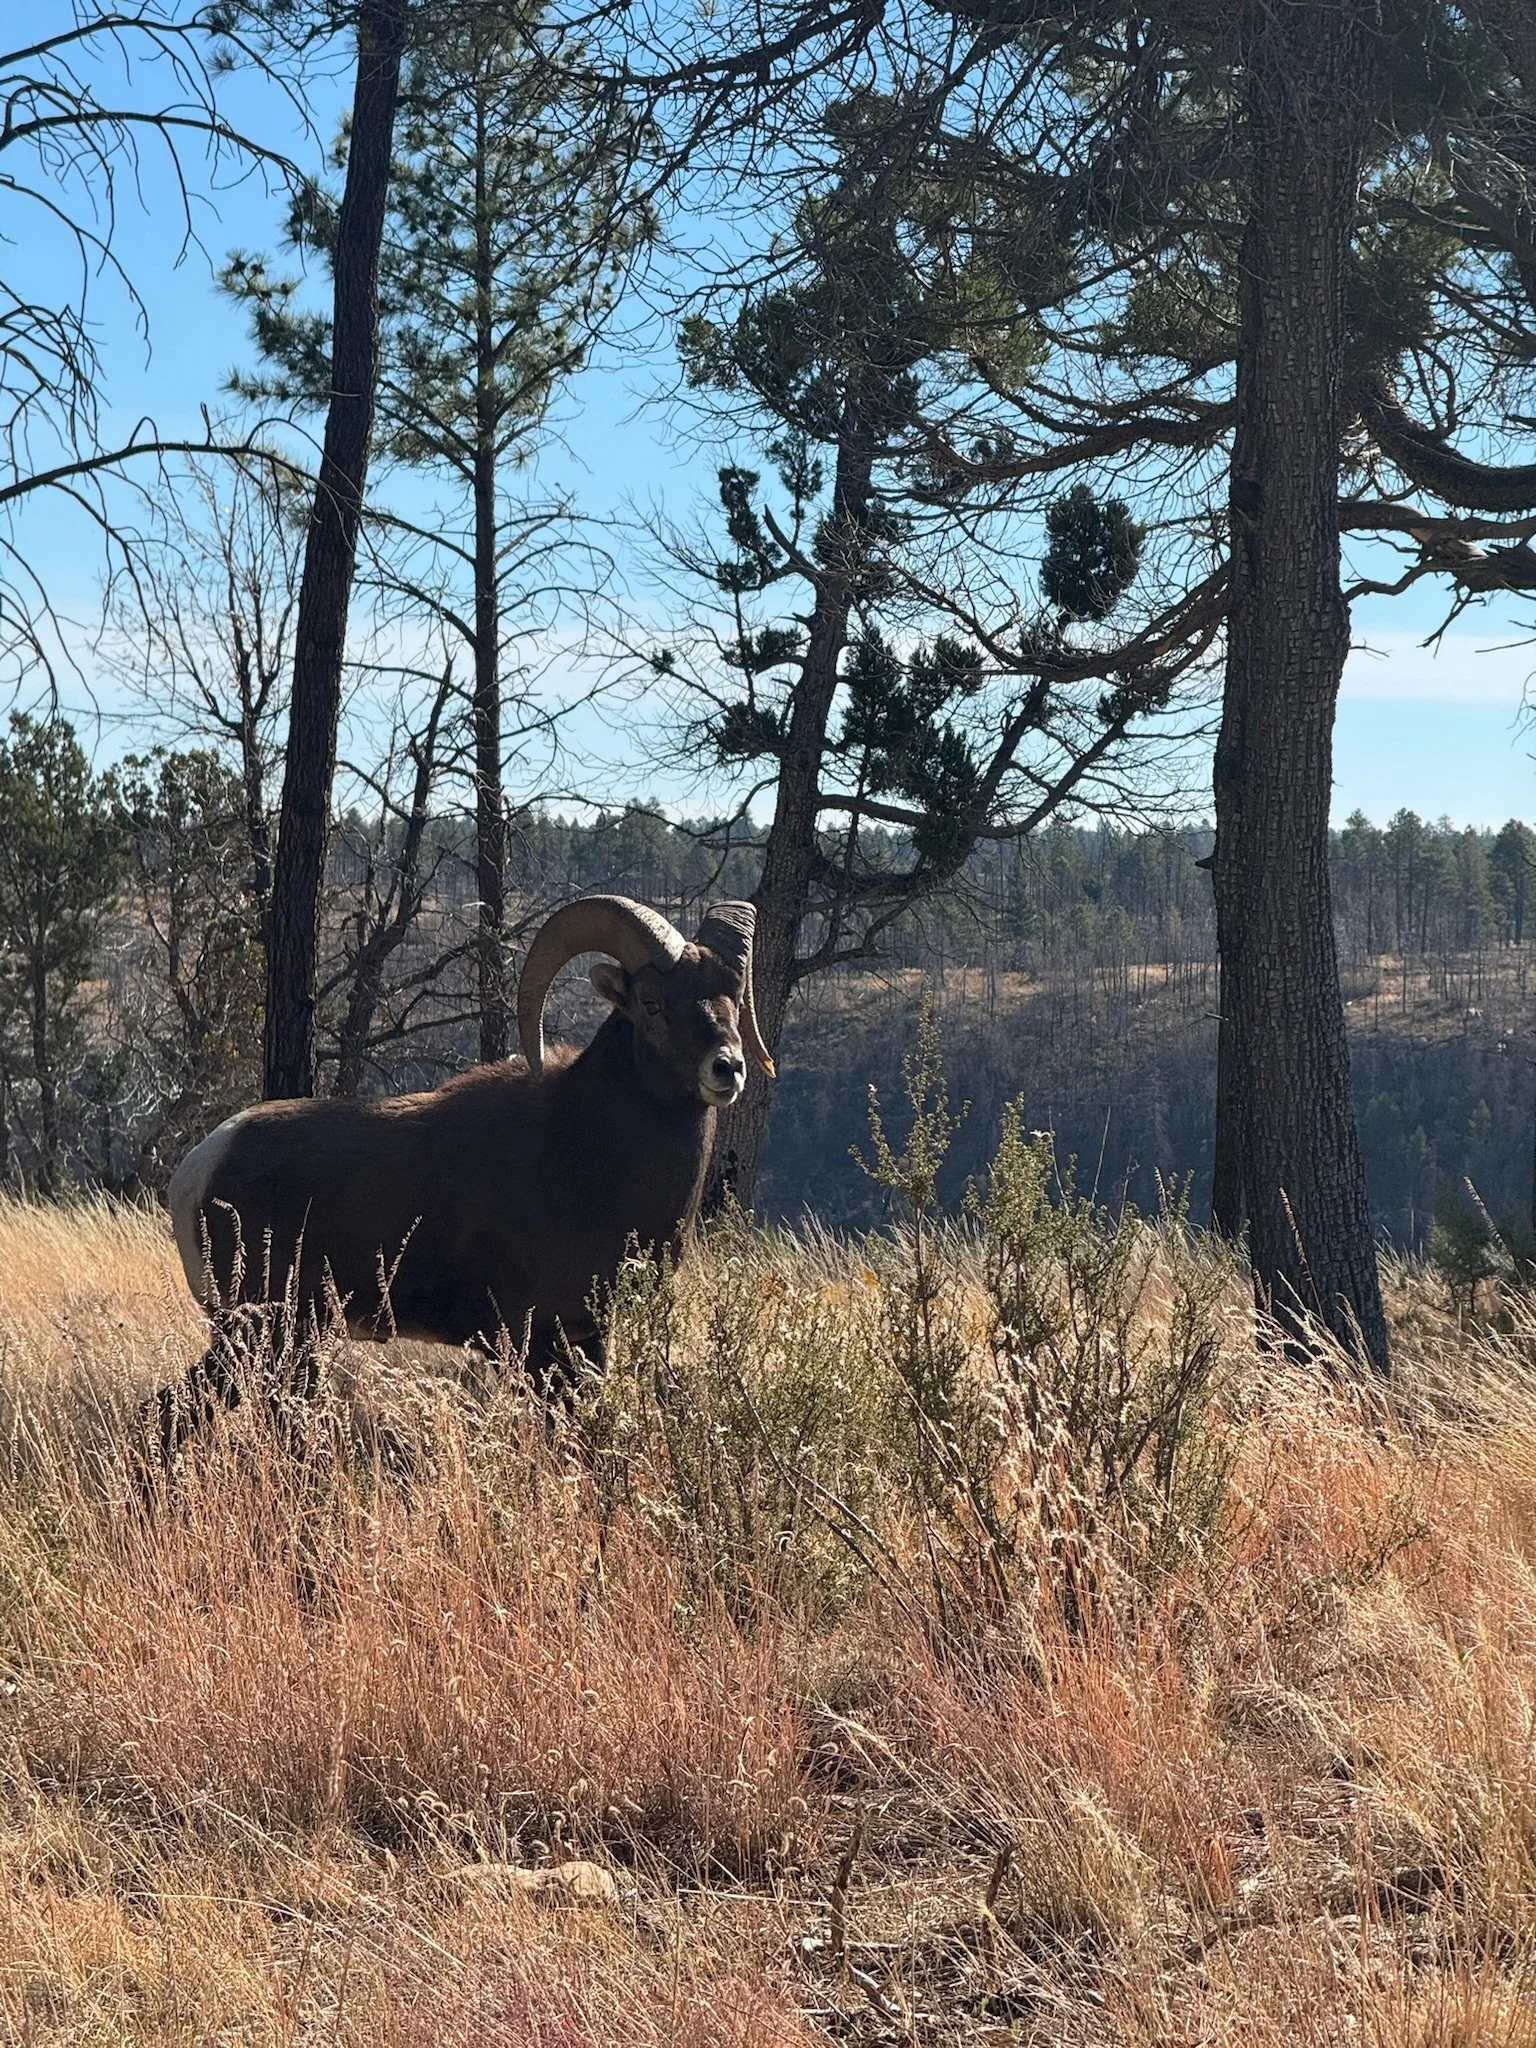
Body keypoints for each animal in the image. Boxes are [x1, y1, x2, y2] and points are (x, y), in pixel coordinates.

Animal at [152, 894, 773, 1458]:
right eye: (652, 1004)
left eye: (732, 997)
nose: (728, 1068)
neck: (584, 1156)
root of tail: (198, 1170)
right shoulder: (532, 1340)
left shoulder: (589, 1338)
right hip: (261, 1334)